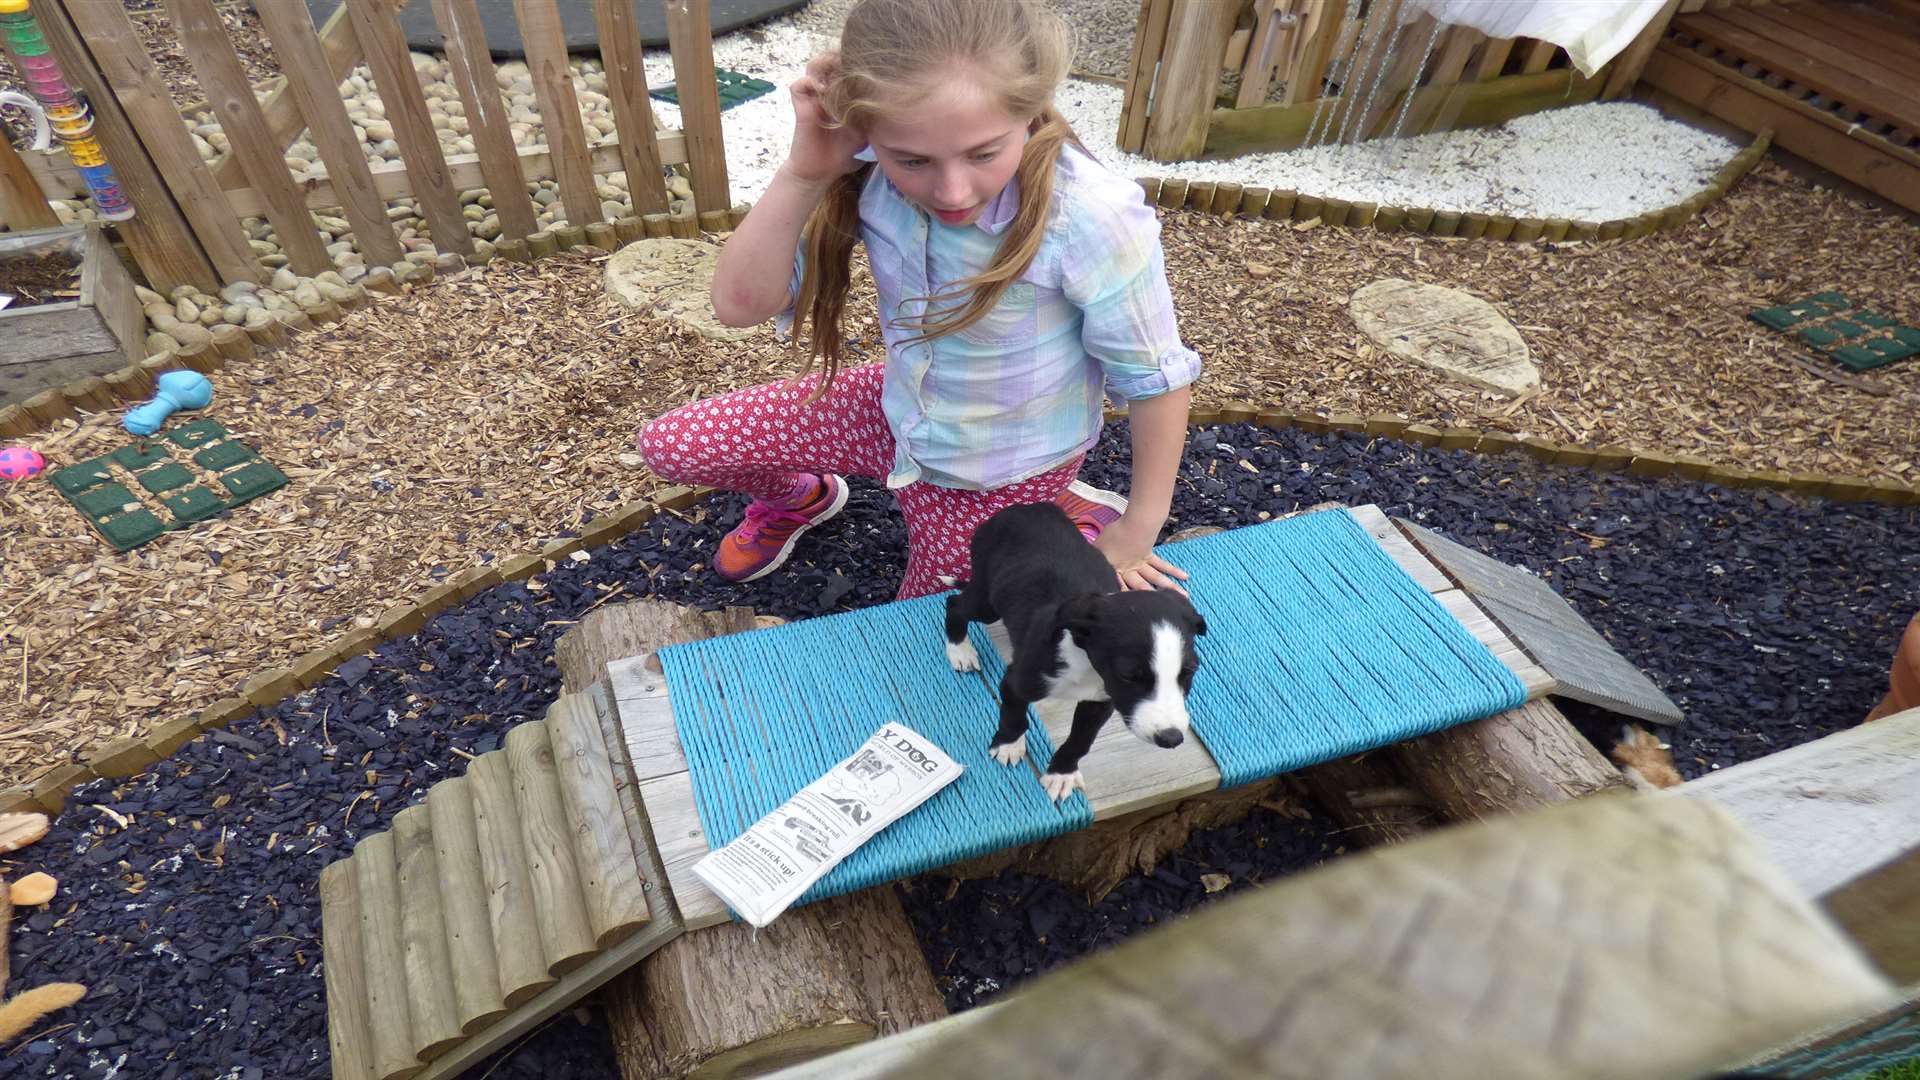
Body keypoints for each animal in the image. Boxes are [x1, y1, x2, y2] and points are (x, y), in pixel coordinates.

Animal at [940, 499, 1205, 795]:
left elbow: (1080, 741)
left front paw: (1061, 774)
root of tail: (1026, 507)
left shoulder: (1100, 703)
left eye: (1190, 672)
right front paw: (1008, 744)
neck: (1083, 660)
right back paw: (960, 651)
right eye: (1127, 675)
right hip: (987, 602)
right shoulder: (1017, 681)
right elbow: (1014, 715)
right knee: (955, 604)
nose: (1171, 739)